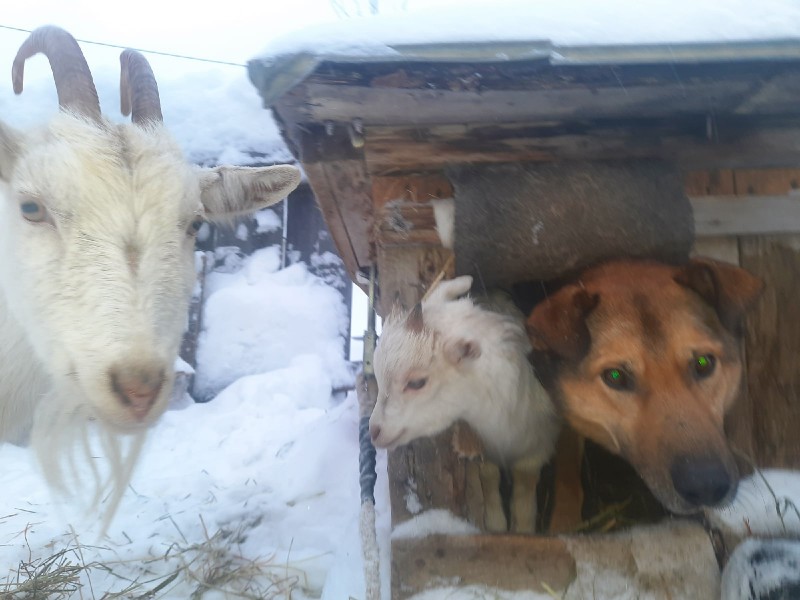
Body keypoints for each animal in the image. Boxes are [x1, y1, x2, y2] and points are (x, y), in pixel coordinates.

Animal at [372, 274, 560, 532]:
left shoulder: (539, 445)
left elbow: (525, 486)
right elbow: (489, 476)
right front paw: (495, 522)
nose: (373, 431)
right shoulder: (485, 448)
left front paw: (523, 528)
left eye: (417, 382)